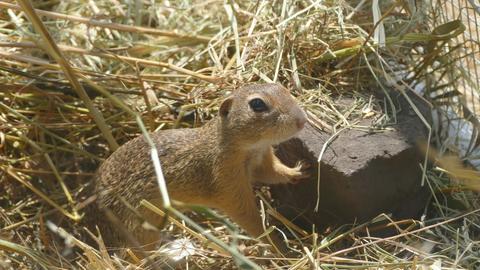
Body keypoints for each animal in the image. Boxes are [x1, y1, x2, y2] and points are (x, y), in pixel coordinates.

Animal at [95, 84, 310, 251]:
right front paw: (276, 245)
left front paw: (299, 170)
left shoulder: (261, 161)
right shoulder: (227, 182)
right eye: (257, 104)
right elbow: (247, 216)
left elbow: (273, 172)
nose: (302, 120)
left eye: (283, 88)